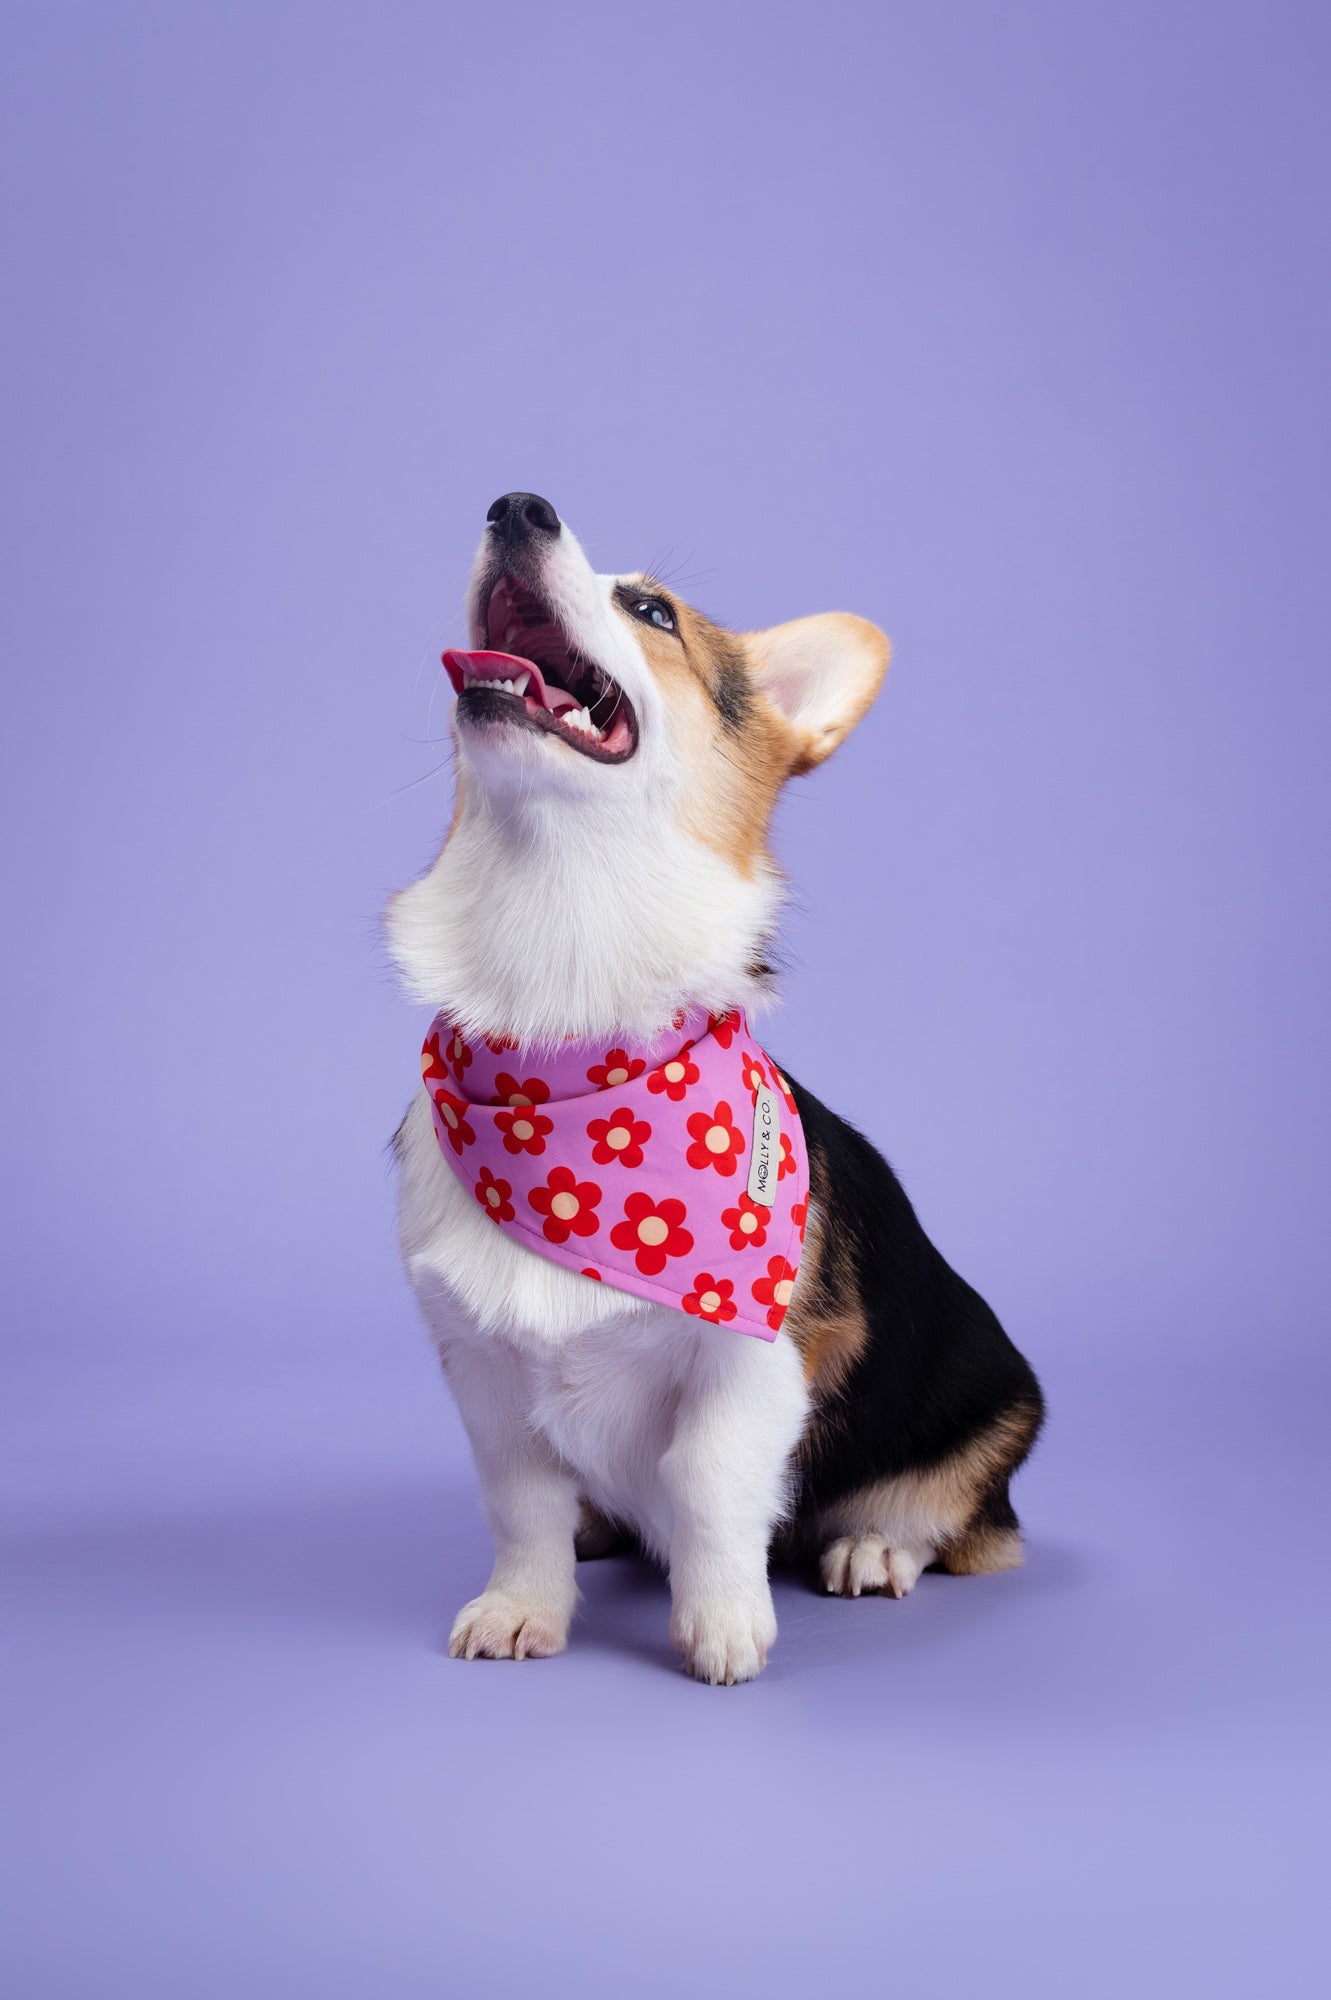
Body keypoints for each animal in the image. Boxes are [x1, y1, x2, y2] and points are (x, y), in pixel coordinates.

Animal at [388, 491, 1044, 1685]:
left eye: (652, 610)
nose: (516, 504)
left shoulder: (750, 1365)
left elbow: (706, 1481)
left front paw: (724, 1621)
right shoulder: (484, 1373)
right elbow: (521, 1503)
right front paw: (523, 1607)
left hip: (995, 1404)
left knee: (957, 1518)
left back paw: (872, 1545)